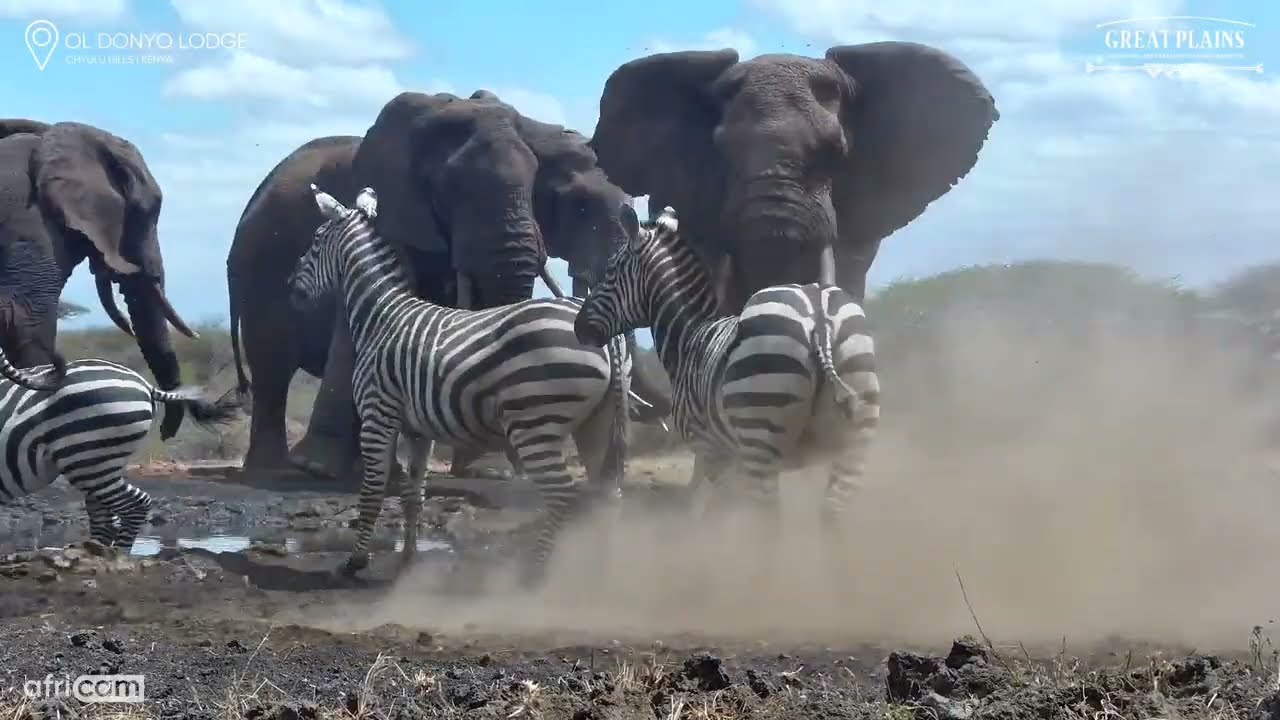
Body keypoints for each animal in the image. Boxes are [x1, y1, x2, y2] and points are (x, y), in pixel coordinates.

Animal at [0, 347, 242, 552]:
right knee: (105, 518)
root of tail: (143, 383)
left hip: (89, 461)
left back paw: (117, 558)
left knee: (135, 504)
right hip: (98, 463)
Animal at [287, 184, 634, 585]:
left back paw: (534, 574)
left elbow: (372, 490)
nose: (290, 287)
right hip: (597, 421)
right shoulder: (418, 430)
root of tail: (605, 337)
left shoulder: (378, 414)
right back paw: (599, 574)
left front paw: (355, 562)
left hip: (535, 421)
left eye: (315, 241)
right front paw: (407, 561)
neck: (380, 316)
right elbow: (413, 494)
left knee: (563, 494)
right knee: (607, 495)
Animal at [572, 206, 881, 545]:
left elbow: (718, 518)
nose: (578, 327)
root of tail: (818, 315)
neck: (688, 336)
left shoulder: (713, 452)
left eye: (610, 272)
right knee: (832, 519)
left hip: (762, 439)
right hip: (854, 439)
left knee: (771, 526)